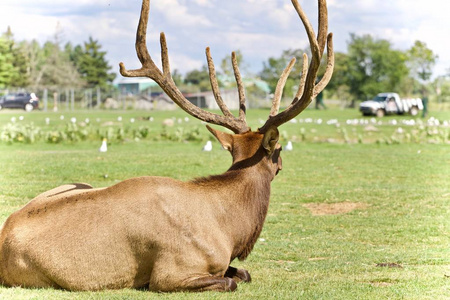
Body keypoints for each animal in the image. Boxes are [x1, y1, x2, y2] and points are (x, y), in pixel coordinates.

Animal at [0, 0, 332, 292]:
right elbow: (232, 280)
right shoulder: (172, 273)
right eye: (279, 151)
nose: (282, 163)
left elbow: (243, 273)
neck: (230, 230)